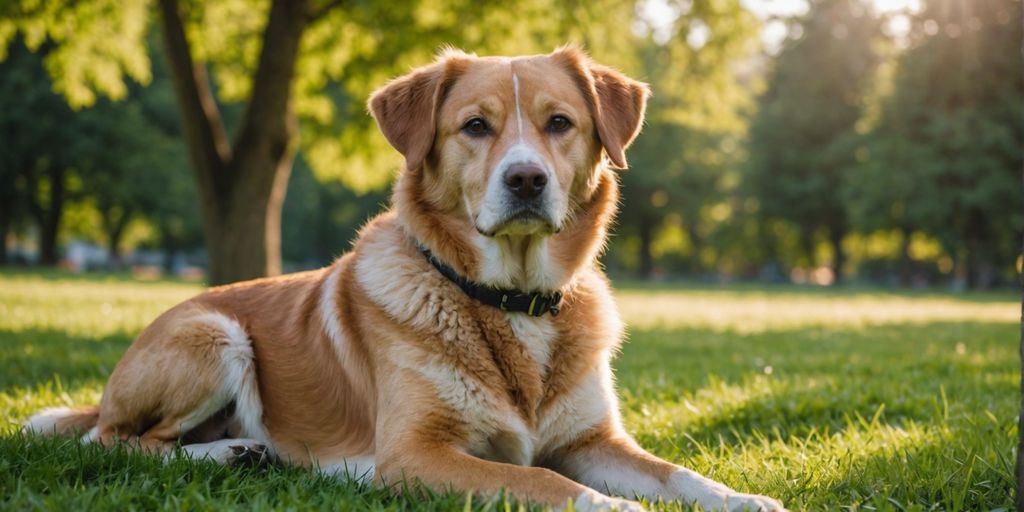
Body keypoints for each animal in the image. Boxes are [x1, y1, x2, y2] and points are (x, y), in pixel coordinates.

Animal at [29, 46, 782, 509]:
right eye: (474, 126)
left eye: (559, 123)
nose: (527, 179)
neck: (511, 298)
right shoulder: (418, 454)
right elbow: (547, 483)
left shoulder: (593, 441)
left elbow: (678, 474)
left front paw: (745, 498)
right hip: (214, 336)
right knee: (120, 443)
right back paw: (229, 454)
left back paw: (242, 450)